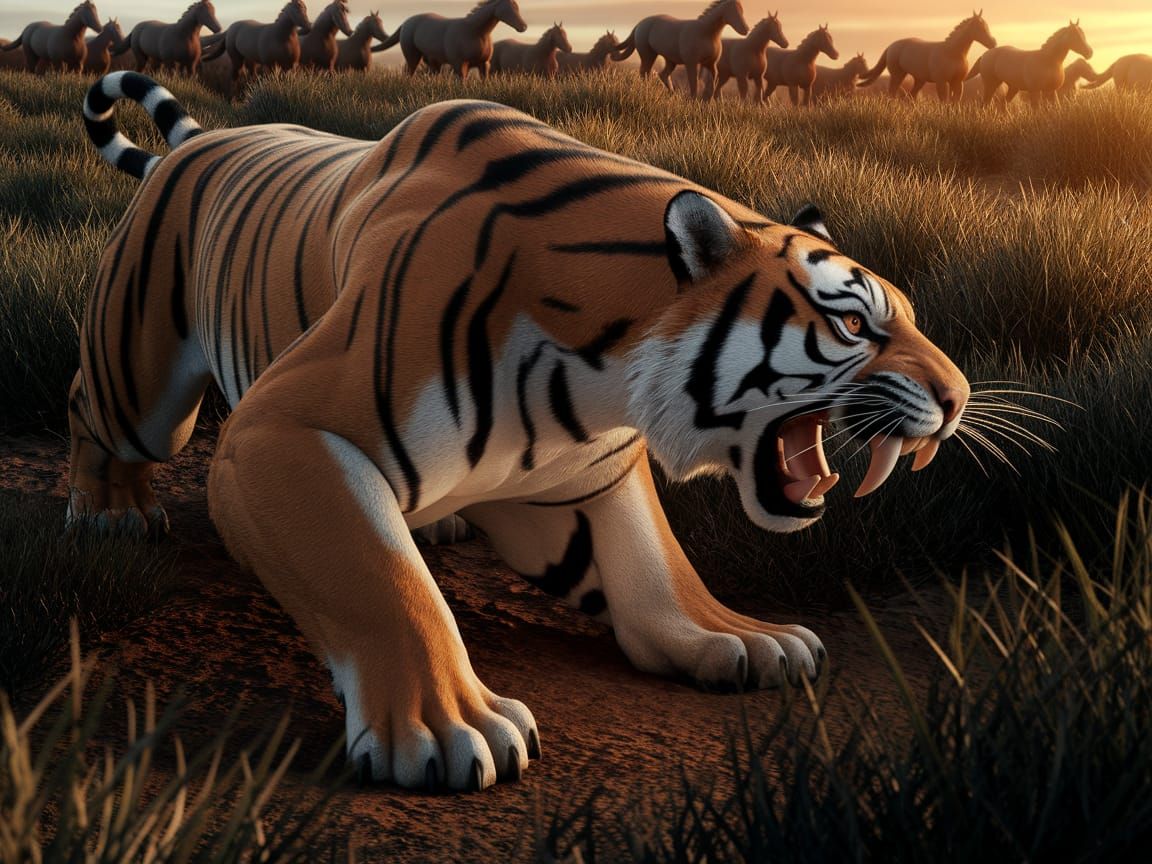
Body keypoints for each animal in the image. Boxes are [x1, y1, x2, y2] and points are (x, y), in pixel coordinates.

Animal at [71, 71, 969, 793]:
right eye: (852, 323)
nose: (959, 399)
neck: (601, 373)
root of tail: (204, 137)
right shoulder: (279, 429)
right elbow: (383, 583)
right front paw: (444, 727)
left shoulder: (587, 473)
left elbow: (655, 563)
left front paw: (737, 637)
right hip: (140, 386)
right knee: (93, 408)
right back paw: (112, 511)